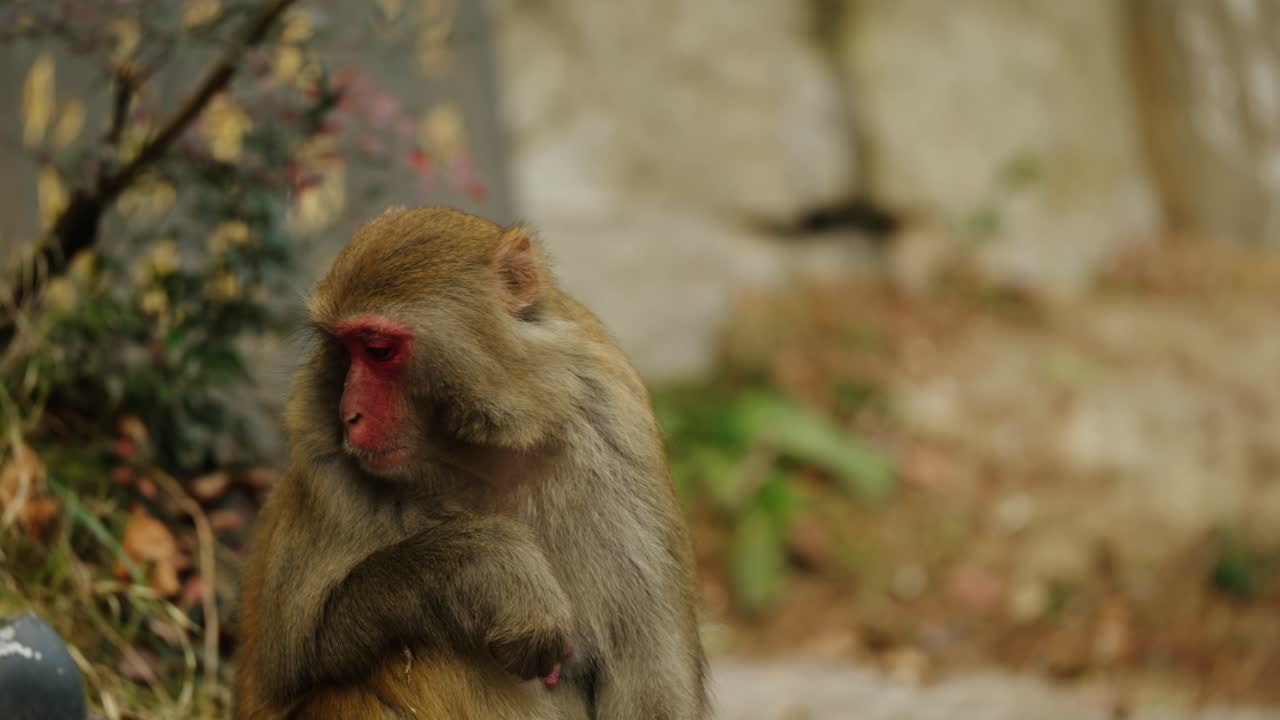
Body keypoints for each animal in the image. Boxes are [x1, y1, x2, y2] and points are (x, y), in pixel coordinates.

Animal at [234, 207, 708, 719]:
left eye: (377, 350)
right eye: (344, 350)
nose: (349, 414)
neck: (483, 451)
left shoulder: (615, 424)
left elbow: (651, 686)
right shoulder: (319, 454)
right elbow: (292, 660)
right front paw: (489, 569)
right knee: (425, 656)